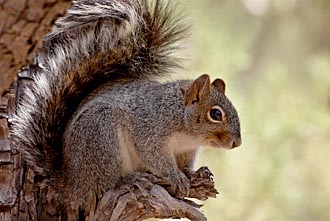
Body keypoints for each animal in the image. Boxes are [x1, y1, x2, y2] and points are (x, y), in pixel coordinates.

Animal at [10, 0, 242, 218]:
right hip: (103, 137)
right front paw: (176, 177)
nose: (237, 143)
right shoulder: (150, 126)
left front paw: (192, 175)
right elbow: (154, 155)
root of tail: (73, 185)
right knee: (107, 184)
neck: (182, 121)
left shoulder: (186, 150)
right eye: (216, 114)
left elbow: (184, 164)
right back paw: (130, 181)